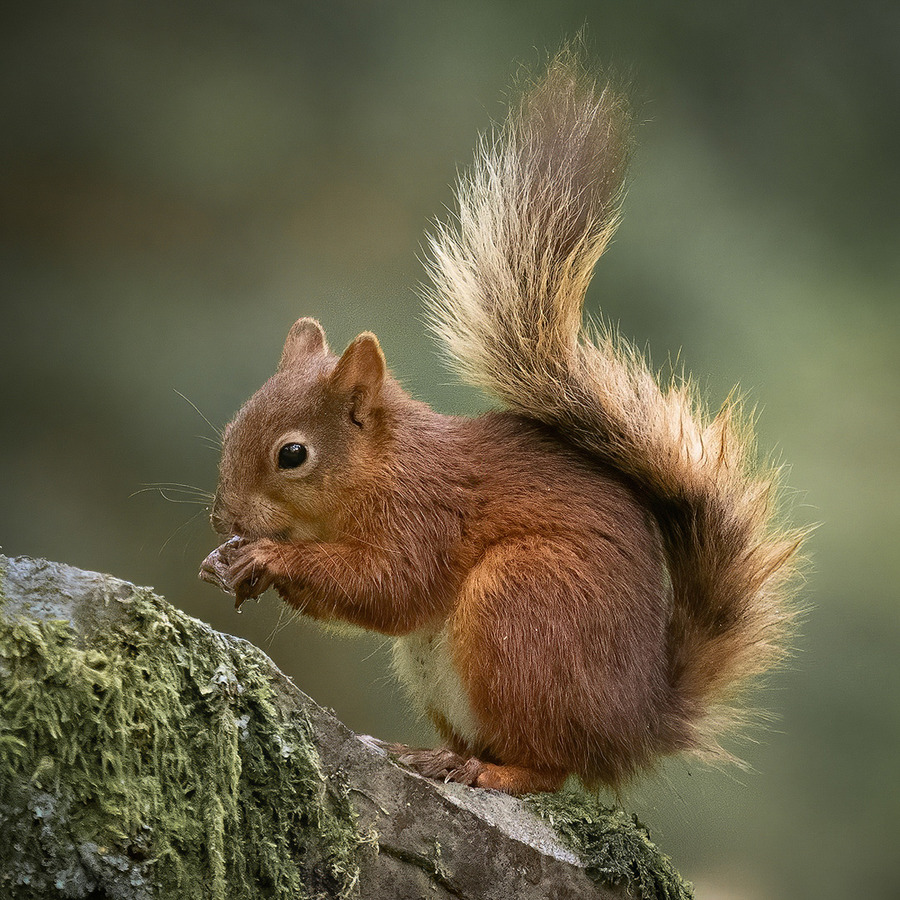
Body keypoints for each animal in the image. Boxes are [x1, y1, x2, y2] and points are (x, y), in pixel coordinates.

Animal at [199, 51, 800, 796]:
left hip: (523, 604)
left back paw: (491, 772)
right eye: (232, 432)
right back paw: (432, 755)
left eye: (292, 455)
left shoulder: (423, 516)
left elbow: (388, 587)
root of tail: (632, 728)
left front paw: (268, 557)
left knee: (549, 765)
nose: (222, 520)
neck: (381, 468)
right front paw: (225, 565)